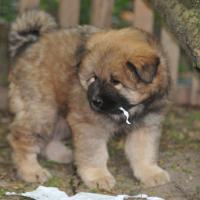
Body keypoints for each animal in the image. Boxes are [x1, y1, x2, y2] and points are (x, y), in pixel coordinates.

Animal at [7, 10, 170, 189]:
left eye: (115, 81)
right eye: (93, 78)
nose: (94, 101)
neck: (129, 108)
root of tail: (30, 45)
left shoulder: (147, 123)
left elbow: (144, 151)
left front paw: (150, 172)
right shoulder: (90, 124)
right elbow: (95, 153)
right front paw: (98, 176)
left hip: (62, 115)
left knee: (50, 138)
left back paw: (62, 154)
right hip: (42, 111)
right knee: (21, 137)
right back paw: (31, 170)